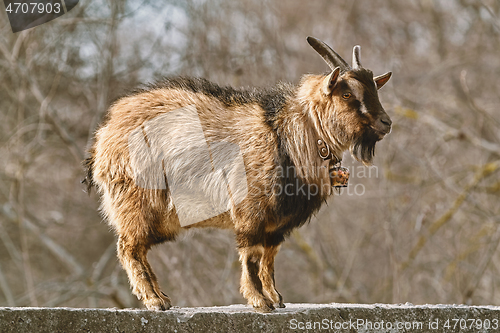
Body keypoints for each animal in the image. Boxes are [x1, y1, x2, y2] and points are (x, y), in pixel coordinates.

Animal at [84, 37, 392, 312]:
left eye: (375, 90)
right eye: (347, 94)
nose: (386, 122)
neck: (286, 134)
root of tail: (104, 135)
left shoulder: (276, 223)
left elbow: (269, 257)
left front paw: (276, 298)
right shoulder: (251, 210)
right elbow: (252, 256)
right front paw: (260, 301)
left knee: (137, 247)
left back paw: (162, 297)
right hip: (136, 200)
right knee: (129, 247)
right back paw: (154, 301)